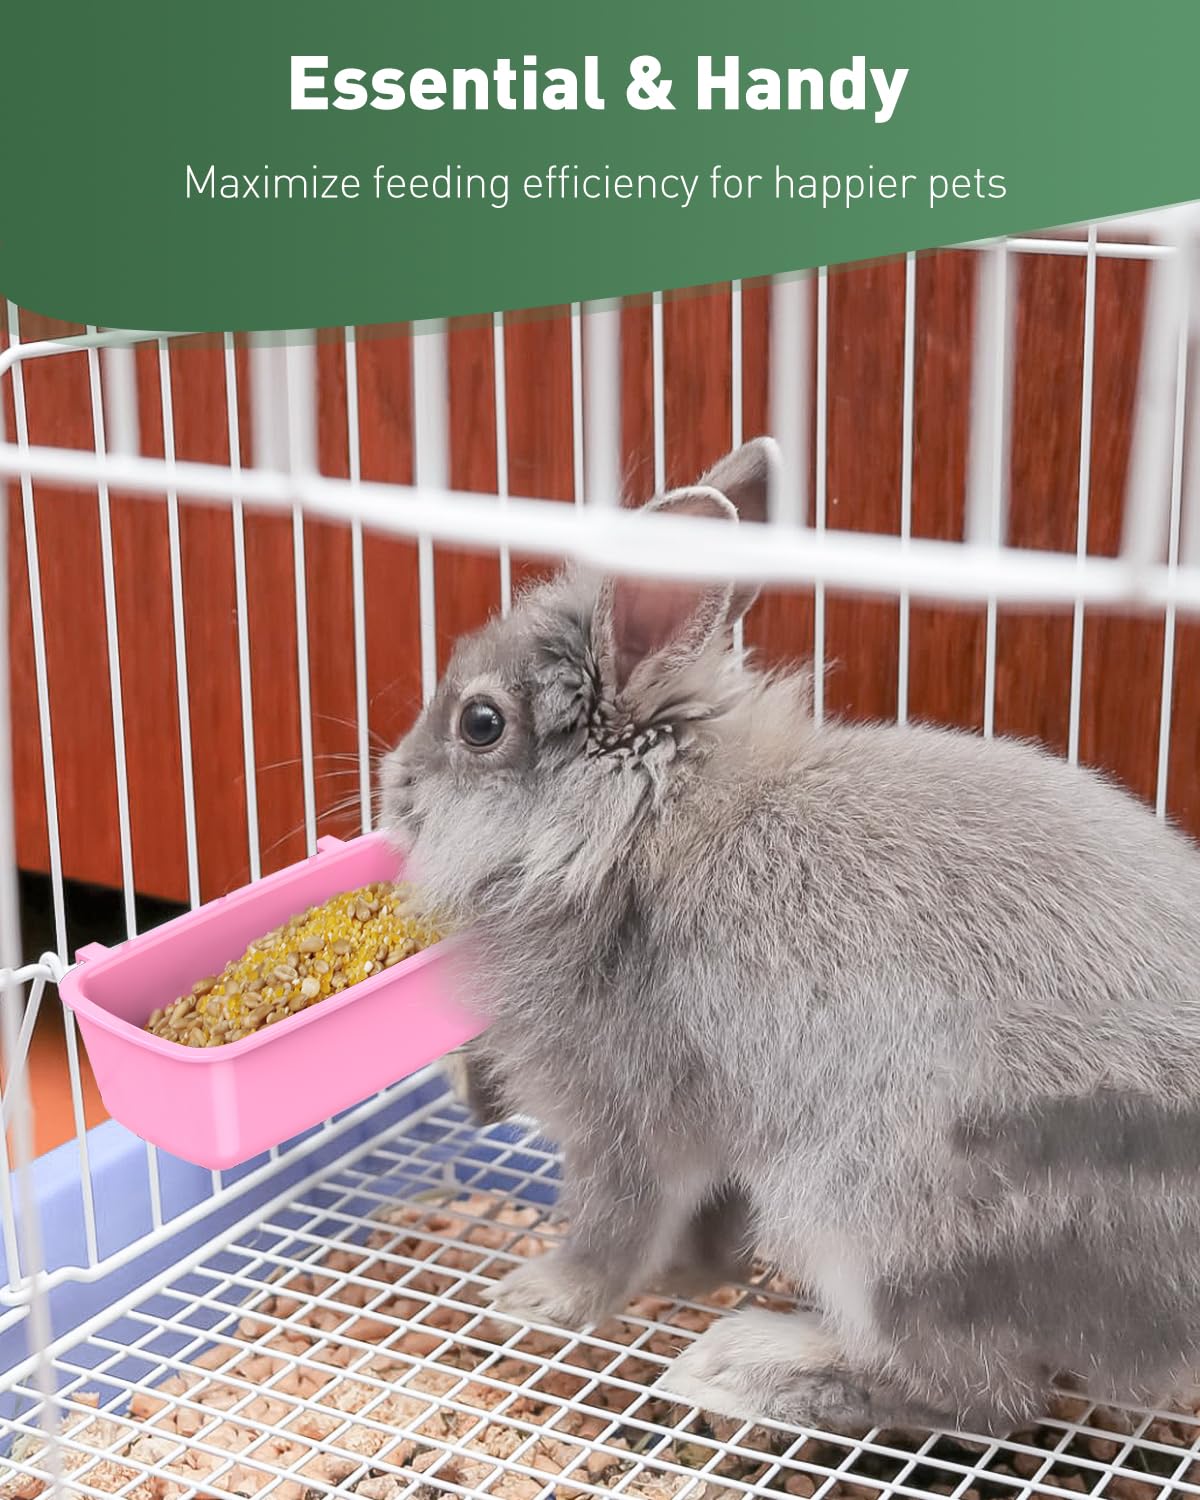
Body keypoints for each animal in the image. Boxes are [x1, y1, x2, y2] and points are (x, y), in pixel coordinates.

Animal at [380, 435, 1200, 1437]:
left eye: (481, 723)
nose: (394, 785)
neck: (631, 829)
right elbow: (701, 1227)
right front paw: (689, 1276)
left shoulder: (623, 1112)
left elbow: (615, 1225)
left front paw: (538, 1296)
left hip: (870, 1211)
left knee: (983, 1396)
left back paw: (742, 1367)